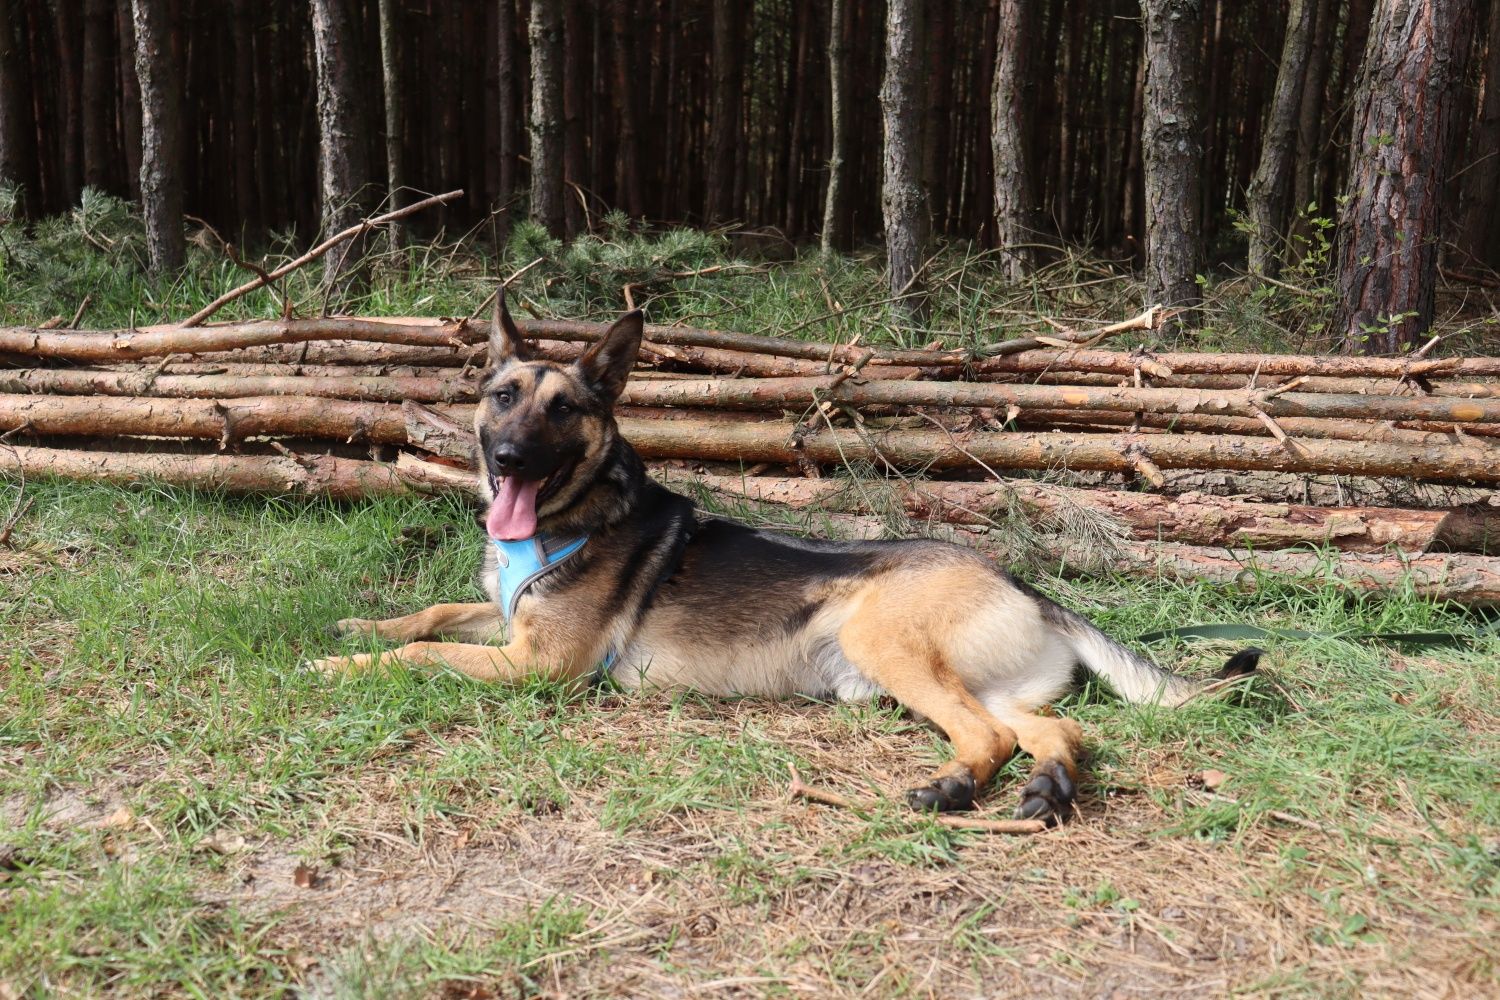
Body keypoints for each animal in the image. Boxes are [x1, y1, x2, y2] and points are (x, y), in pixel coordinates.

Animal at [319, 295, 1266, 821]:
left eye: (563, 410)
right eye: (504, 396)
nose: (510, 460)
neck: (570, 514)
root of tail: (1021, 582)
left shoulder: (539, 664)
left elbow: (425, 651)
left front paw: (339, 662)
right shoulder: (509, 621)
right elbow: (435, 613)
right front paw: (356, 624)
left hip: (880, 641)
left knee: (990, 734)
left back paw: (953, 789)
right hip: (980, 680)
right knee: (1055, 729)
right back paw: (1043, 789)